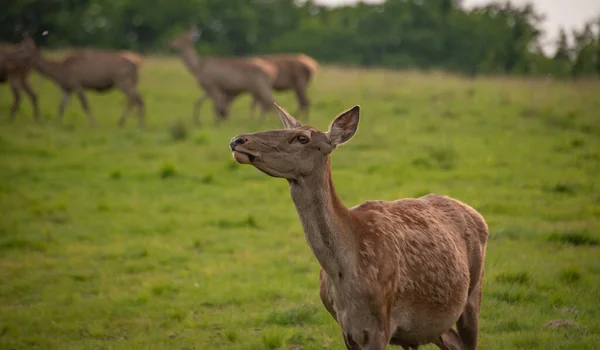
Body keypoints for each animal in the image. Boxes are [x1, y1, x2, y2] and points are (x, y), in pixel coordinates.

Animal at [229, 104, 488, 350]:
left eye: (302, 137)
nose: (237, 140)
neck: (343, 271)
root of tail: (478, 216)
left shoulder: (380, 325)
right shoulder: (346, 329)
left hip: (473, 294)